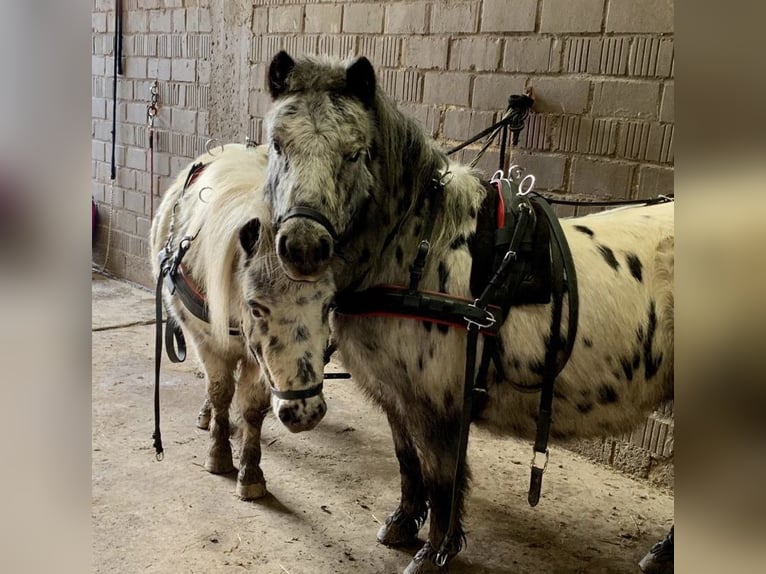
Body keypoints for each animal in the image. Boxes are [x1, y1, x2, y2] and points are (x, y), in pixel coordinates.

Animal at [150, 143, 335, 500]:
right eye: (257, 307)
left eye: (329, 304)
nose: (304, 414)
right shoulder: (206, 342)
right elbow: (221, 391)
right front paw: (218, 455)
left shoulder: (258, 362)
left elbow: (252, 407)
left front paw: (250, 474)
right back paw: (206, 415)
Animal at [259, 51, 674, 573]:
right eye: (277, 143)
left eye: (356, 153)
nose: (303, 248)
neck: (417, 251)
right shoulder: (398, 398)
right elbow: (408, 462)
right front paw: (402, 525)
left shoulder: (439, 406)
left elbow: (442, 478)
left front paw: (434, 553)